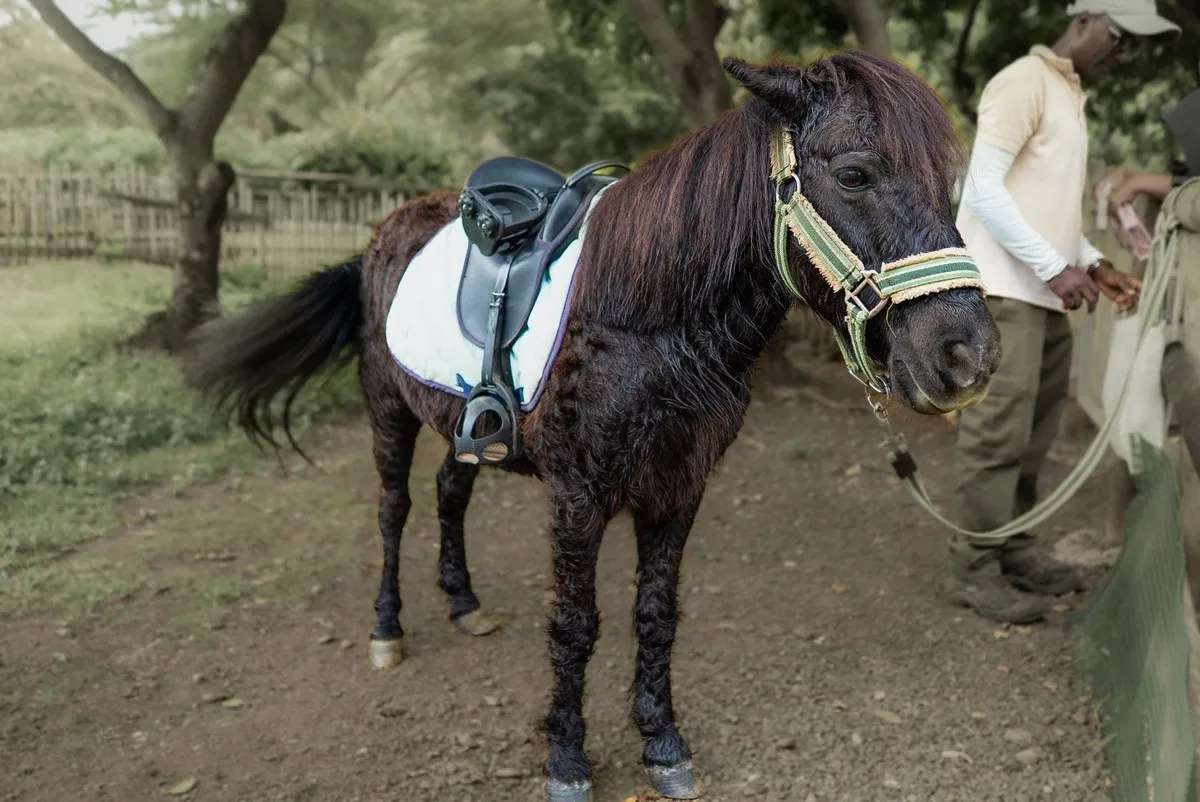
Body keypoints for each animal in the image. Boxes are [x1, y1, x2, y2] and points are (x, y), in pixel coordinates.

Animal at [186, 51, 1001, 802]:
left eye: (948, 183)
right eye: (856, 175)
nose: (968, 356)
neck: (648, 318)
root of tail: (382, 233)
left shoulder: (678, 488)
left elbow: (657, 614)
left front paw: (663, 743)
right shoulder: (579, 494)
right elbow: (576, 624)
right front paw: (567, 759)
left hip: (463, 425)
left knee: (450, 494)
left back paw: (464, 604)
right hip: (387, 407)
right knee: (394, 508)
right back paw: (388, 631)